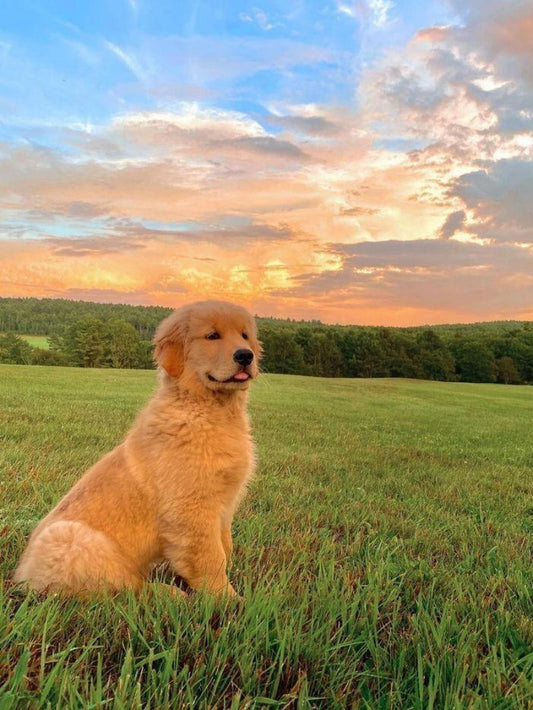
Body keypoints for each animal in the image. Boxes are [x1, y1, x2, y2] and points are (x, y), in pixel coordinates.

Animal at [13, 302, 260, 600]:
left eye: (245, 336)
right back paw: (170, 594)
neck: (209, 410)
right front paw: (229, 599)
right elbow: (211, 557)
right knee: (124, 587)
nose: (245, 355)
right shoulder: (191, 508)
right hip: (72, 539)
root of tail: (21, 576)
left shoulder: (224, 506)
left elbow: (225, 546)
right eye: (212, 336)